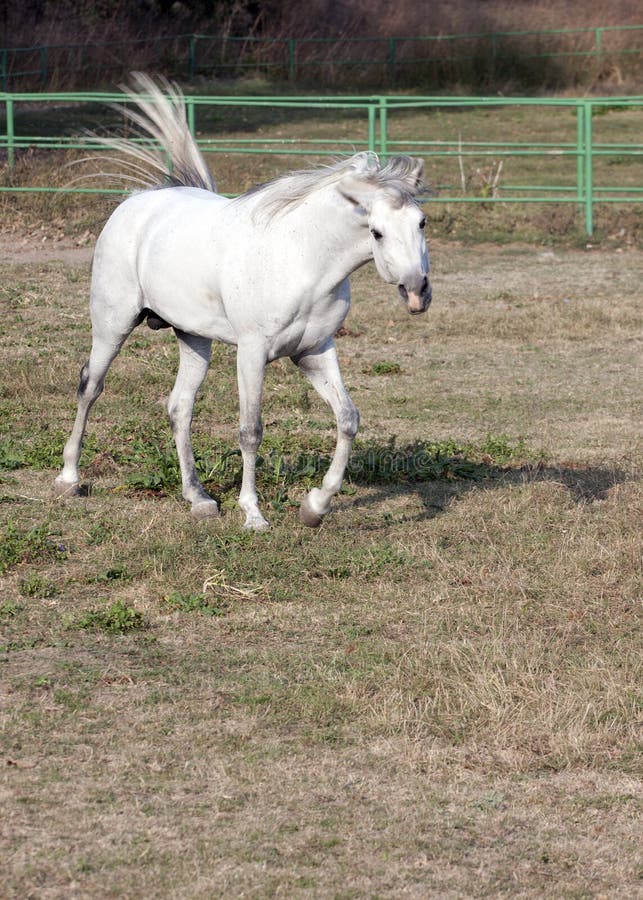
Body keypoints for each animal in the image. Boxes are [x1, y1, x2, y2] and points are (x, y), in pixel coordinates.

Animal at [54, 74, 432, 531]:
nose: (417, 292)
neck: (300, 257)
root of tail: (138, 201)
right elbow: (251, 430)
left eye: (422, 222)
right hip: (113, 324)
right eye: (376, 231)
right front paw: (253, 513)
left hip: (193, 338)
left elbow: (347, 419)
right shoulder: (252, 354)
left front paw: (315, 507)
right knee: (90, 386)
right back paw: (69, 478)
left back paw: (198, 497)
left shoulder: (314, 351)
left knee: (180, 407)